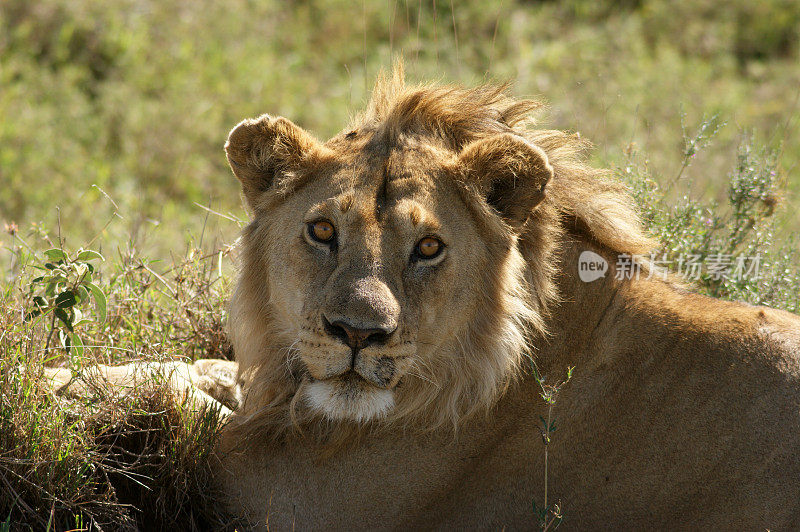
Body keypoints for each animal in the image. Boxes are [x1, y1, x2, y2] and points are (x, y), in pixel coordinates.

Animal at [48, 65, 800, 528]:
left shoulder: (293, 496)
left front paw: (63, 391)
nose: (358, 334)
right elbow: (196, 370)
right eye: (322, 231)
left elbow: (187, 413)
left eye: (430, 247)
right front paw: (61, 375)